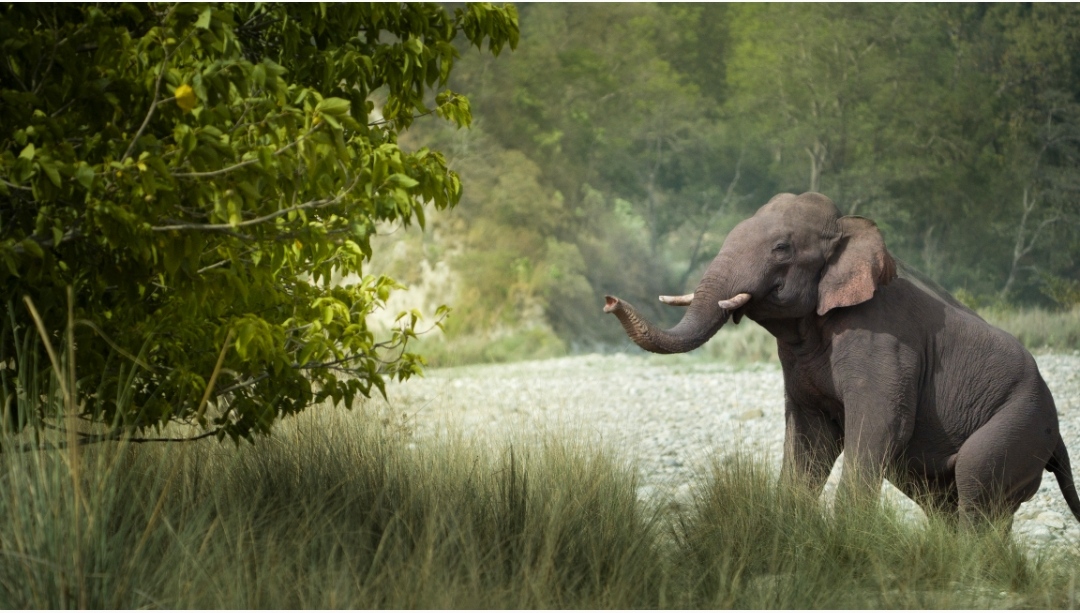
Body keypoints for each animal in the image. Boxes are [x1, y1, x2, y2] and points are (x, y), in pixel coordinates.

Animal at [604, 192, 1080, 528]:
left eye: (781, 248)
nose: (609, 301)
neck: (850, 228)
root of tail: (1056, 436)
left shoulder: (882, 341)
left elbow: (880, 422)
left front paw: (846, 537)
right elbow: (812, 434)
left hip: (1020, 421)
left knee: (975, 480)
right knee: (944, 499)